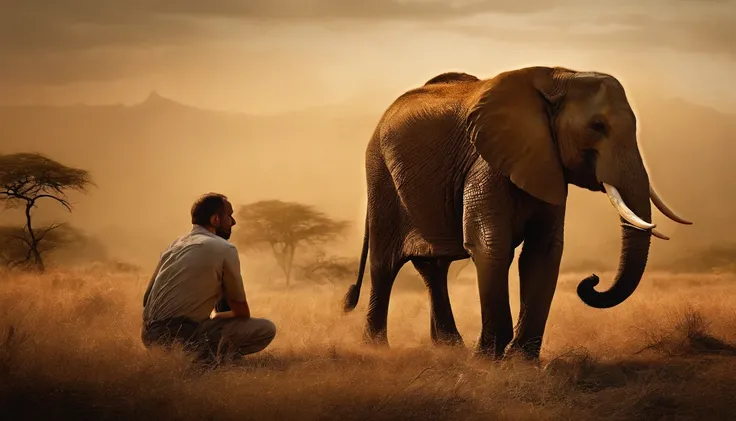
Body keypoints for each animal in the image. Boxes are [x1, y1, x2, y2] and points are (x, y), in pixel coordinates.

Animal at [342, 65, 692, 358]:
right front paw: (487, 359)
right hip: (380, 175)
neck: (559, 78)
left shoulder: (546, 163)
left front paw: (520, 362)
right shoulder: (487, 163)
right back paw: (376, 349)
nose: (591, 280)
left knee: (434, 267)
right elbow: (491, 247)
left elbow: (543, 252)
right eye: (597, 126)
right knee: (385, 264)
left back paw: (450, 348)